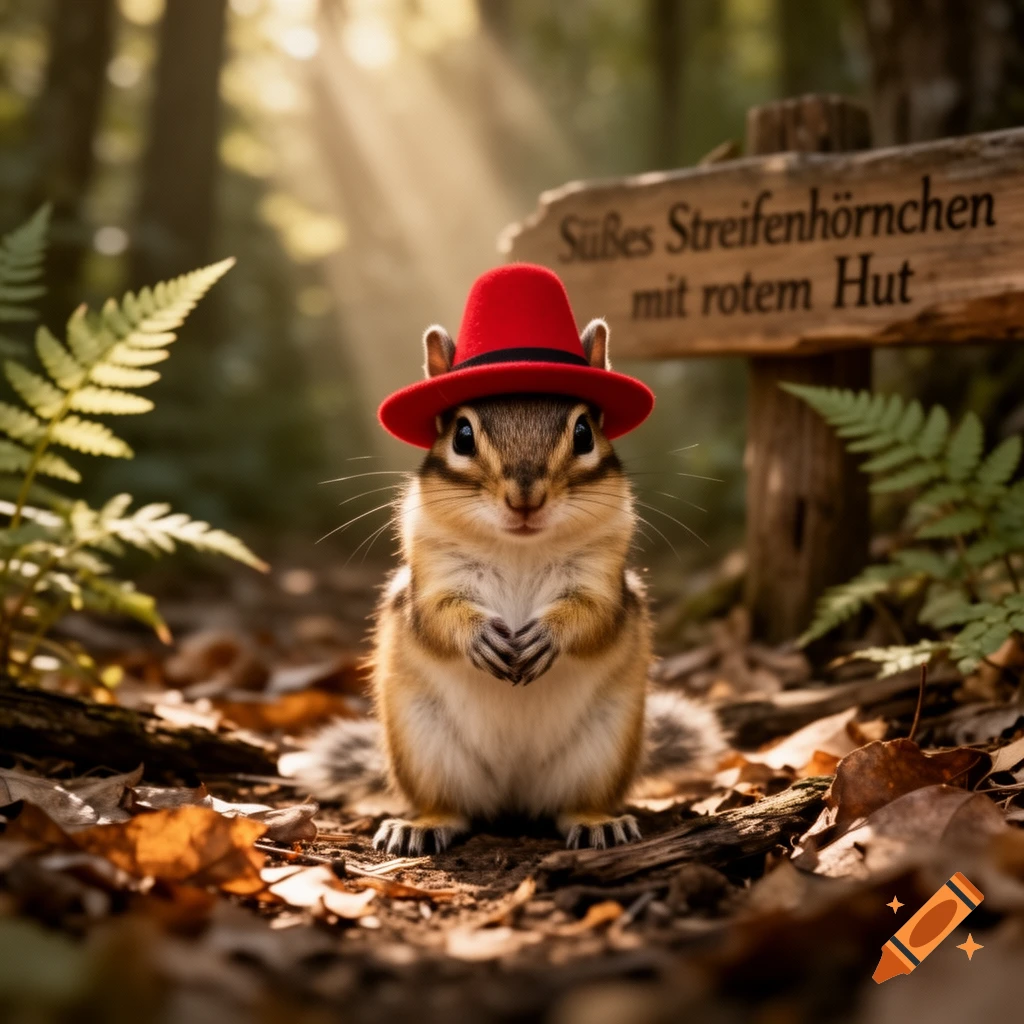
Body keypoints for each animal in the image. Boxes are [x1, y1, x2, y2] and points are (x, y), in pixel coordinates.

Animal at [290, 316, 724, 855]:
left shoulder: (603, 581)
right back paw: (422, 826)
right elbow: (438, 616)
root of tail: (514, 793)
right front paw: (479, 637)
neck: (519, 549)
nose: (525, 498)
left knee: (574, 804)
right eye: (461, 435)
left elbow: (592, 616)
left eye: (585, 432)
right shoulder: (432, 580)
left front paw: (548, 635)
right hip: (424, 747)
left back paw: (598, 822)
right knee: (451, 808)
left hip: (604, 746)